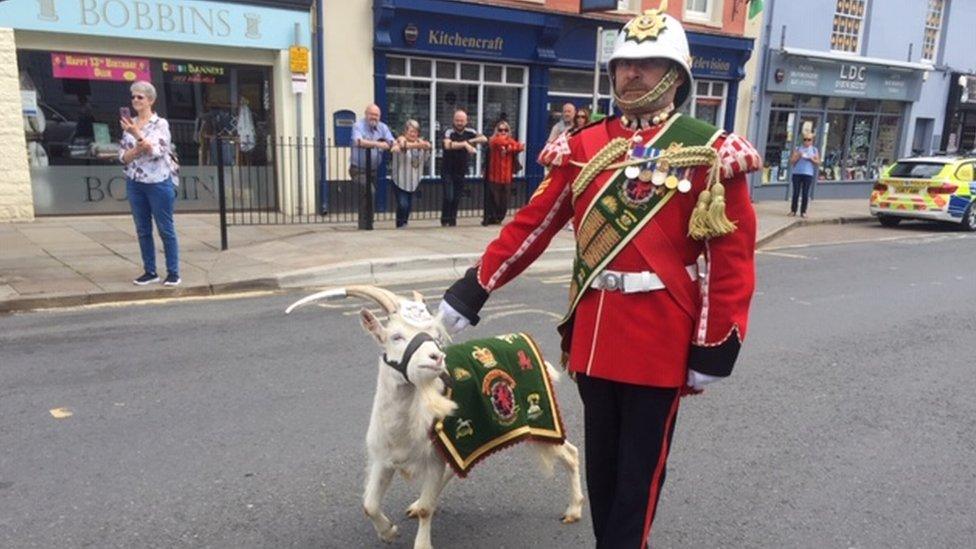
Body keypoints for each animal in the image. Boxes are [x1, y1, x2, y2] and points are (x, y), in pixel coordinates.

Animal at [286, 284, 584, 548]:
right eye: (396, 336)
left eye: (434, 335)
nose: (436, 357)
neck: (403, 426)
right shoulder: (384, 458)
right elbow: (369, 504)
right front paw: (388, 532)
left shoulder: (434, 457)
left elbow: (427, 509)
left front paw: (421, 542)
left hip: (542, 422)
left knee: (571, 453)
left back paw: (573, 509)